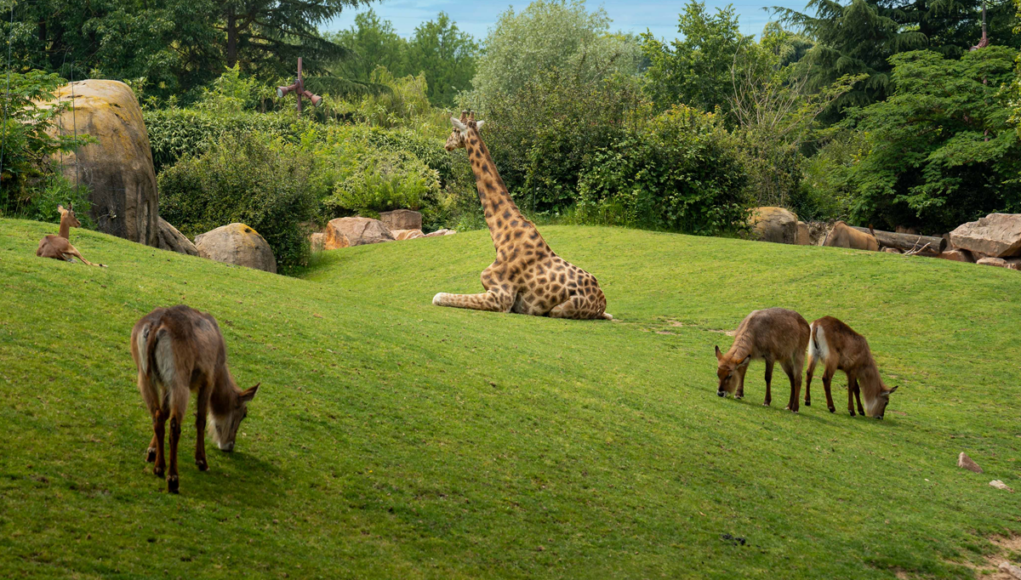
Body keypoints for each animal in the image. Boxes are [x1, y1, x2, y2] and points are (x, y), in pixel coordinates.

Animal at [129, 306, 259, 492]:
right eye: (244, 414)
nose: (229, 446)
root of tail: (156, 326)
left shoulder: (165, 385)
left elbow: (164, 412)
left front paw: (152, 451)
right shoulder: (208, 379)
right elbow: (201, 419)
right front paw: (201, 461)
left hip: (145, 375)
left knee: (157, 416)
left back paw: (159, 466)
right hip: (179, 379)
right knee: (175, 425)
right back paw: (173, 478)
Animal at [432, 112, 608, 322]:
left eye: (454, 130)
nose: (446, 145)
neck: (501, 237)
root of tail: (602, 302)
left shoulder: (501, 297)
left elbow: (438, 296)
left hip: (559, 310)